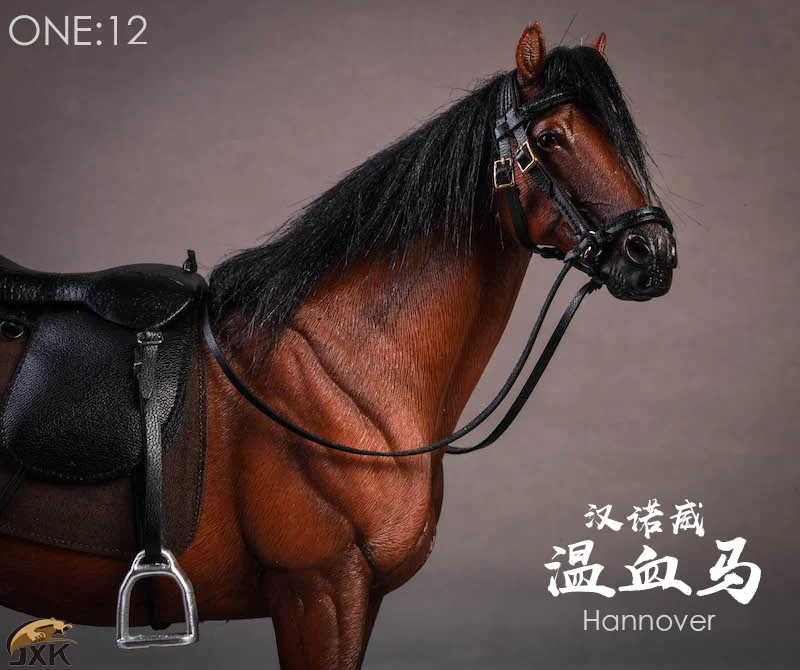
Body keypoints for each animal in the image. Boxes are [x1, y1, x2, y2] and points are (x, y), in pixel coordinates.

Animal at [0, 21, 677, 669]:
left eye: (618, 137)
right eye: (555, 137)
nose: (653, 254)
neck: (339, 368)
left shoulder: (358, 598)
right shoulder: (320, 592)